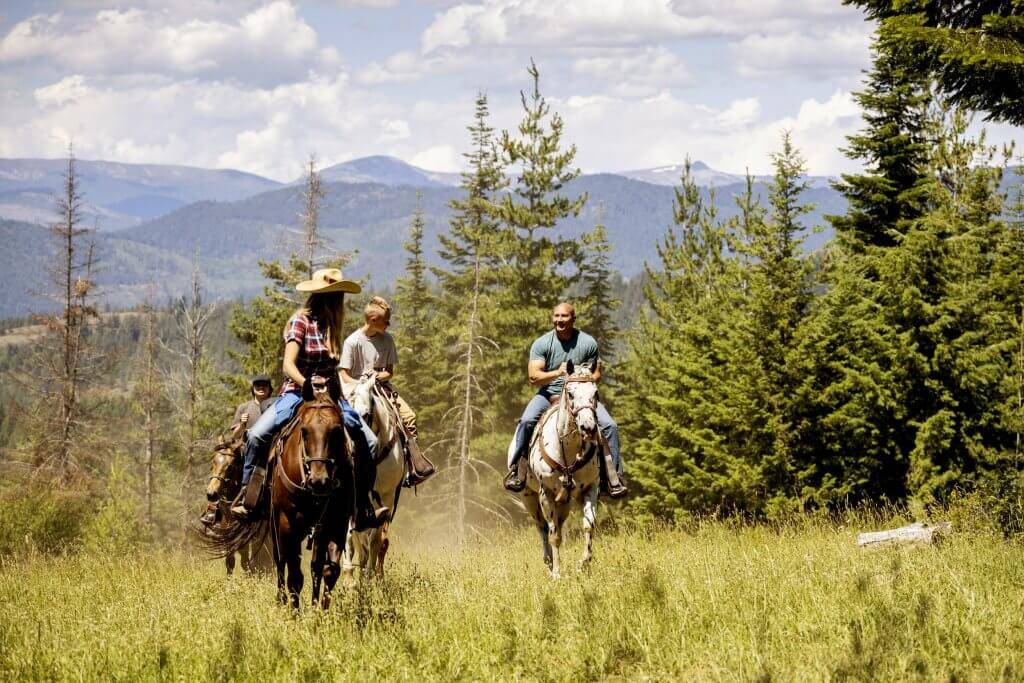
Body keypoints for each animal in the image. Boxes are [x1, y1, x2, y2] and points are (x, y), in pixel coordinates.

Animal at [344, 370, 407, 585]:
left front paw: (369, 578)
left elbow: (374, 541)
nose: (351, 449)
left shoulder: (387, 497)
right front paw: (349, 579)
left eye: (365, 415)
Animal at [509, 360, 598, 581]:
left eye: (595, 393)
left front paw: (583, 565)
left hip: (563, 502)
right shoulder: (545, 493)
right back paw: (549, 562)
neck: (567, 448)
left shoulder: (590, 487)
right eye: (571, 393)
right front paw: (557, 573)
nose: (588, 428)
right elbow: (554, 535)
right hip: (529, 497)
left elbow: (588, 525)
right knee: (542, 527)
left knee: (559, 523)